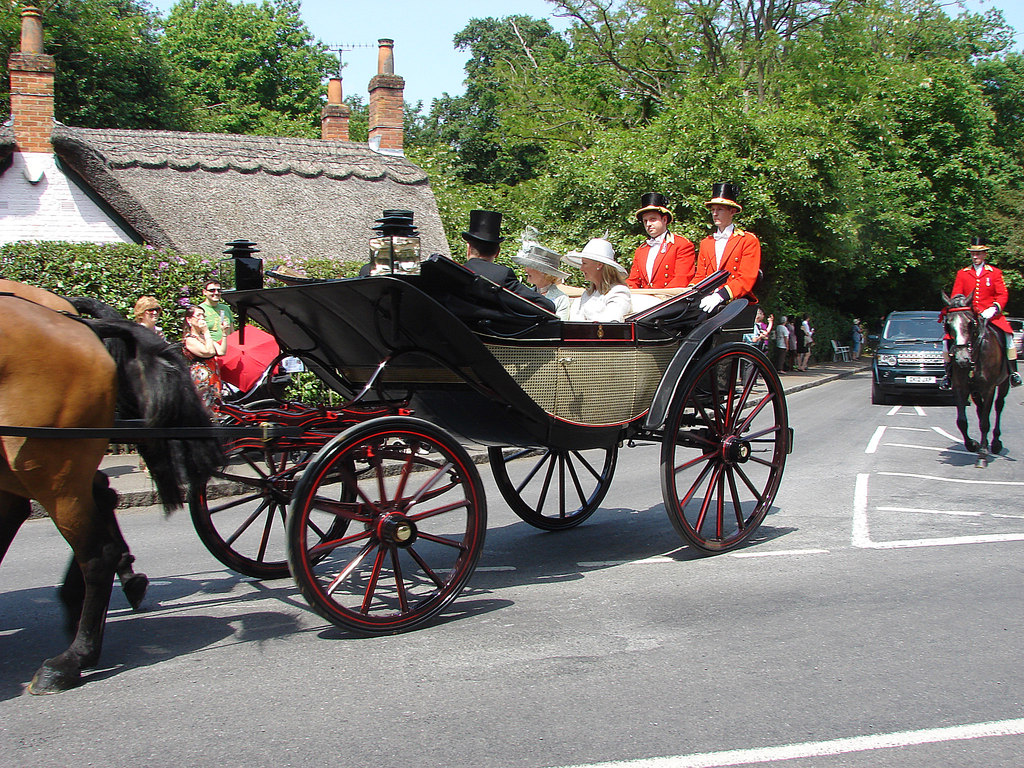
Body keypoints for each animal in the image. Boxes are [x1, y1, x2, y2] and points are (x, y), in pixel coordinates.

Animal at [942, 294, 1007, 468]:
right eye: (948, 324)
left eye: (971, 323)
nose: (961, 359)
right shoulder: (960, 388)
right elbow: (962, 421)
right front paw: (972, 444)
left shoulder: (989, 388)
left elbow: (985, 422)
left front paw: (982, 455)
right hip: (976, 391)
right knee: (981, 409)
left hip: (1003, 384)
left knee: (999, 406)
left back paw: (996, 442)